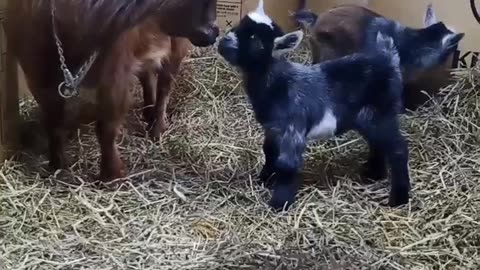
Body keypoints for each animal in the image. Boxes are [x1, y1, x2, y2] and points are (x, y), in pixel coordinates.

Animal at [4, 1, 218, 181]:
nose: (213, 32)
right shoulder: (37, 74)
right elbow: (53, 122)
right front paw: (57, 165)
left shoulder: (115, 73)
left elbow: (106, 128)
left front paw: (111, 175)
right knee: (148, 74)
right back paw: (148, 112)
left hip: (175, 43)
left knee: (165, 84)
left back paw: (157, 127)